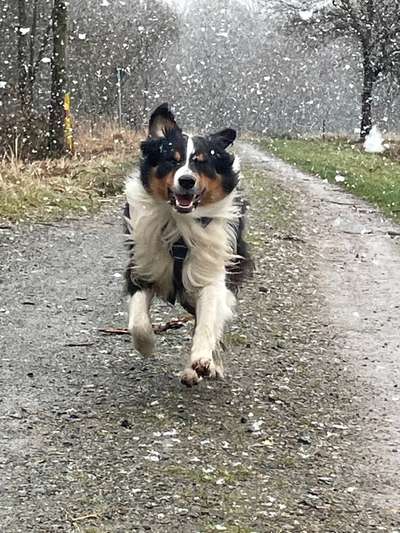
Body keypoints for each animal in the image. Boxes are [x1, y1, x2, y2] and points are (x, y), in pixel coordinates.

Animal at [123, 103, 252, 386]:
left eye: (202, 163)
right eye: (172, 159)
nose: (186, 181)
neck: (179, 227)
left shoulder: (211, 274)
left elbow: (206, 323)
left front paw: (202, 360)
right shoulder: (142, 268)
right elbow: (137, 322)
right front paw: (146, 346)